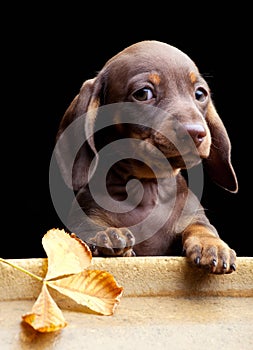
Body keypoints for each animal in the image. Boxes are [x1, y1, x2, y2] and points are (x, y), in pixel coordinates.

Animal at [54, 40, 237, 274]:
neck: (145, 187)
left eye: (200, 94)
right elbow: (85, 228)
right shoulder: (85, 215)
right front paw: (106, 234)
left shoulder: (192, 216)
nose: (196, 133)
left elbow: (202, 227)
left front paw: (212, 245)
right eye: (143, 94)